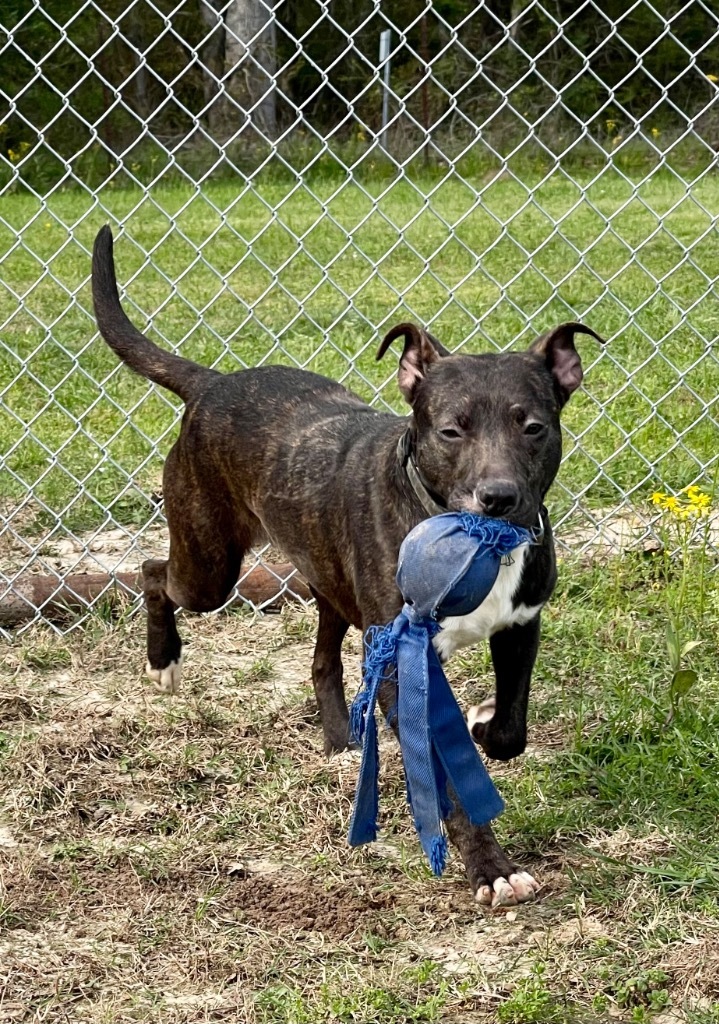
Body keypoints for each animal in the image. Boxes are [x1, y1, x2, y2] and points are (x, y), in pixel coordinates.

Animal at [93, 224, 606, 905]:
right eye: (451, 431)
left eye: (534, 427)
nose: (499, 498)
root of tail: (212, 383)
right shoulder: (402, 661)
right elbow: (450, 784)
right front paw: (490, 868)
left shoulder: (521, 626)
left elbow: (511, 730)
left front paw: (481, 723)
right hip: (209, 564)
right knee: (155, 572)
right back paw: (163, 661)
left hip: (326, 578)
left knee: (320, 657)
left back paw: (340, 739)